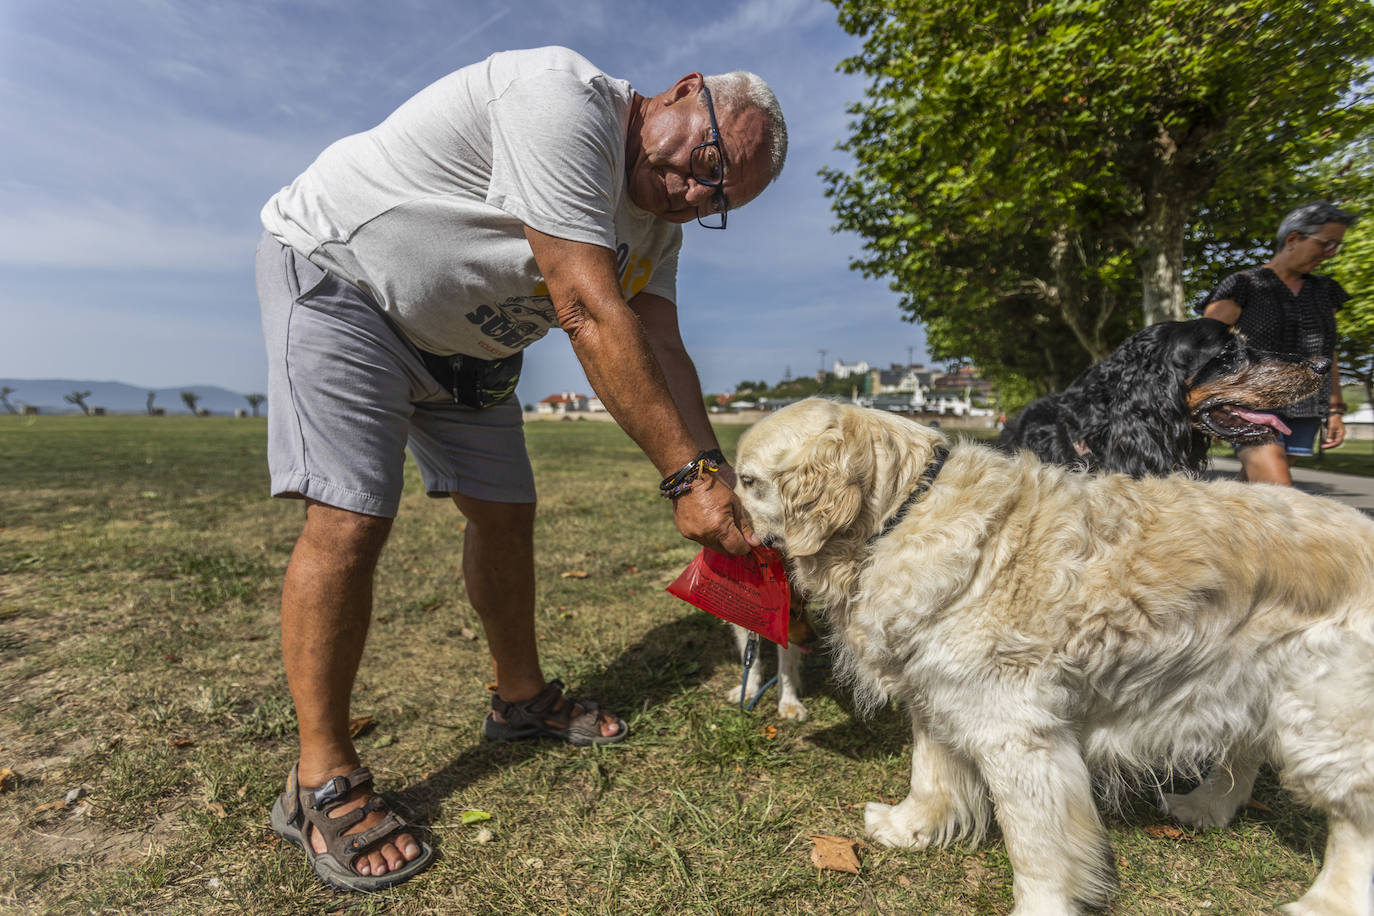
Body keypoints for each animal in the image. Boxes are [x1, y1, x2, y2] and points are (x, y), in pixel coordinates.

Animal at [736, 401, 1374, 916]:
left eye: (746, 481)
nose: (725, 521)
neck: (904, 513)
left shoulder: (1016, 733)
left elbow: (1036, 847)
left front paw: (1039, 905)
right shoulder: (940, 692)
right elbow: (930, 774)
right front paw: (908, 827)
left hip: (1324, 716)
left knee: (1354, 819)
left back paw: (1327, 902)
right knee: (1244, 751)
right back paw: (1204, 806)